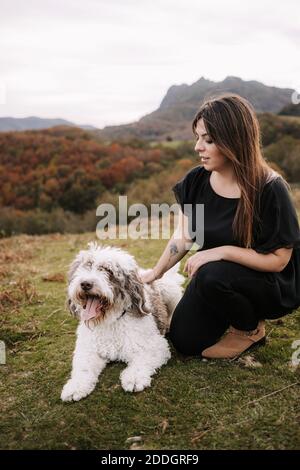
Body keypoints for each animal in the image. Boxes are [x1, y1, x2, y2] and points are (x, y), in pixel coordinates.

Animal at [60, 242, 185, 400]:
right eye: (85, 266)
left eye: (108, 270)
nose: (85, 284)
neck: (110, 321)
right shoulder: (87, 349)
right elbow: (83, 368)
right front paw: (75, 386)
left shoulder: (155, 346)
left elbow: (142, 361)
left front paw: (135, 378)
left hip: (169, 292)